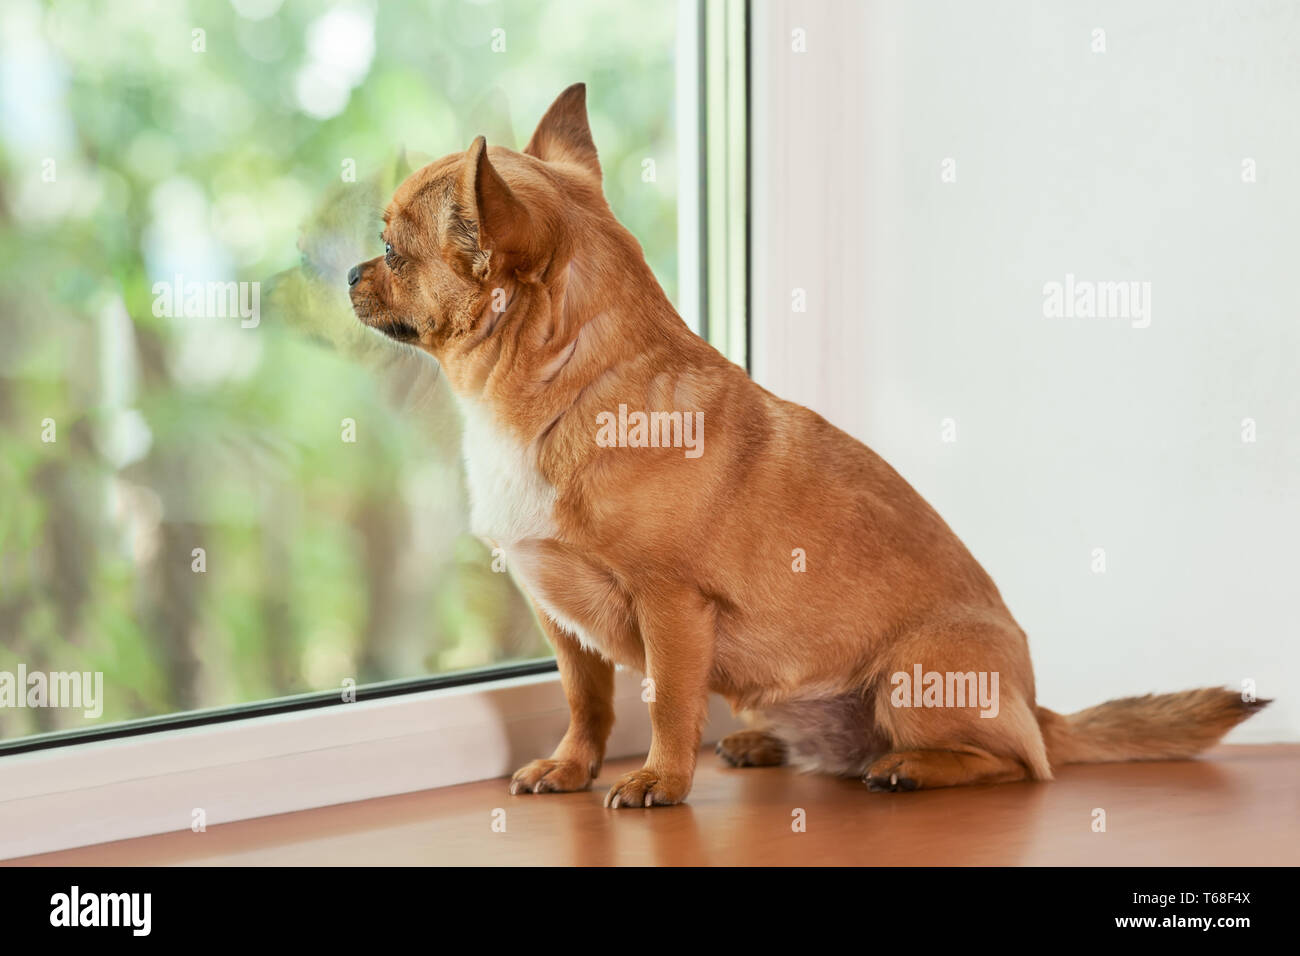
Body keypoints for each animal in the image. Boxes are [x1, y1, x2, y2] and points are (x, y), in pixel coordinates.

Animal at [351, 85, 1263, 811]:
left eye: (394, 251)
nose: (353, 271)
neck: (566, 392)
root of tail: (1037, 706)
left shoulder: (673, 608)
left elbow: (666, 702)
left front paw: (660, 781)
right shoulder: (561, 620)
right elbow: (588, 703)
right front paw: (571, 767)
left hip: (913, 677)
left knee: (1018, 765)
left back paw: (914, 767)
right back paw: (770, 744)